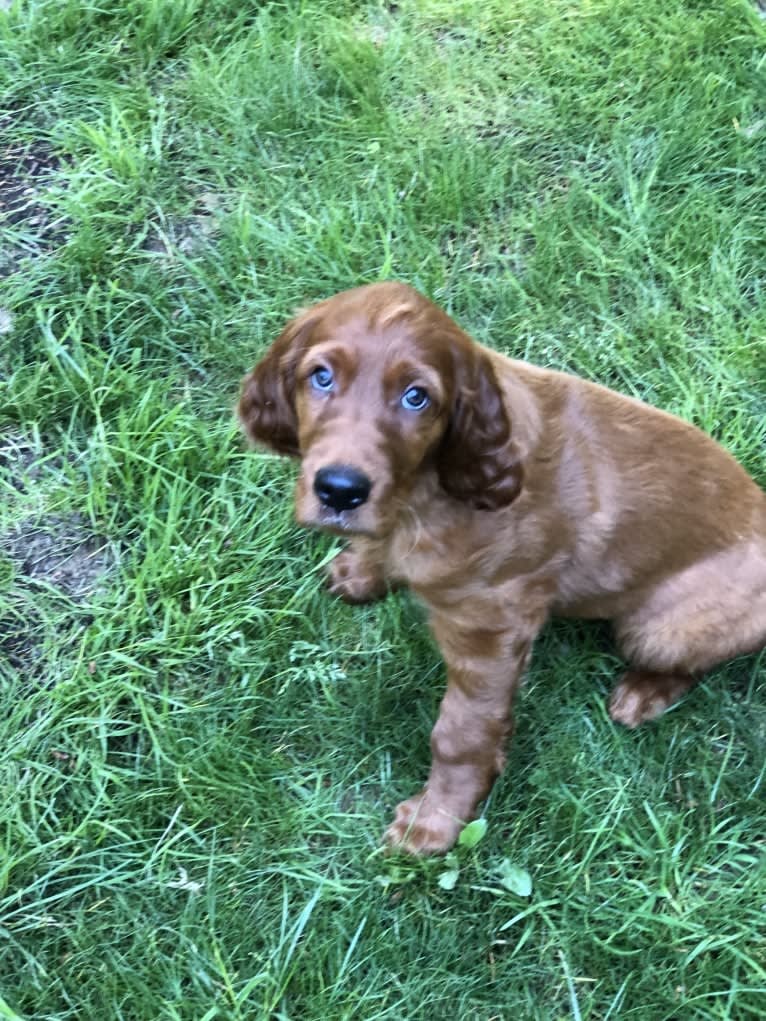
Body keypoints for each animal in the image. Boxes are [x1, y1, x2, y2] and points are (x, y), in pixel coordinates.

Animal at [240, 279, 766, 853]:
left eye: (416, 397)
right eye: (321, 376)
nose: (340, 489)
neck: (426, 491)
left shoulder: (491, 625)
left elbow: (461, 733)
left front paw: (435, 820)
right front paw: (361, 572)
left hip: (658, 630)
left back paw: (643, 693)